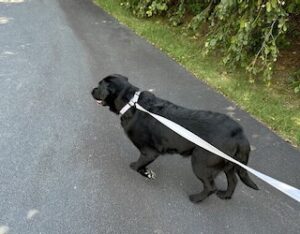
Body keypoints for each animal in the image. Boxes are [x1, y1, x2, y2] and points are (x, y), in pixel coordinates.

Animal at [91, 74, 258, 202]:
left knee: (211, 187)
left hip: (201, 162)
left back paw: (196, 198)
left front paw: (142, 171)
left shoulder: (149, 152)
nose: (91, 90)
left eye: (99, 85)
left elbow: (139, 164)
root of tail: (240, 135)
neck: (132, 104)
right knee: (233, 181)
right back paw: (225, 195)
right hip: (228, 164)